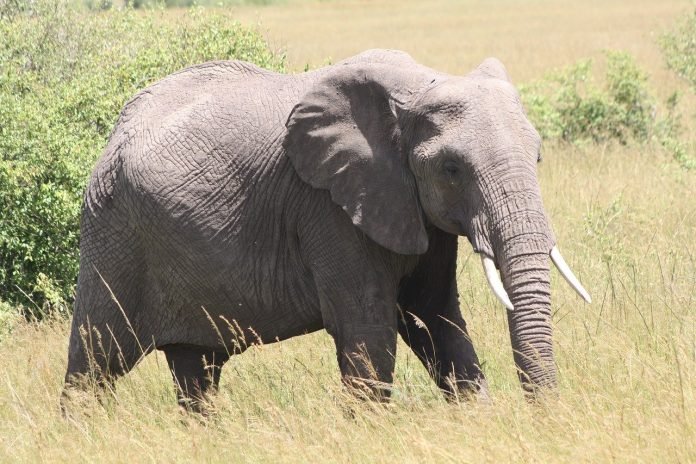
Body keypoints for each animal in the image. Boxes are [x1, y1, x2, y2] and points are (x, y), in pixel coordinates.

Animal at [62, 49, 590, 411]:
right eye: (452, 169)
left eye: (538, 156)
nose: (543, 415)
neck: (416, 87)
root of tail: (113, 134)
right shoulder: (328, 209)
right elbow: (370, 330)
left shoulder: (412, 210)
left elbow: (436, 317)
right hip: (114, 230)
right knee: (95, 360)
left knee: (196, 368)